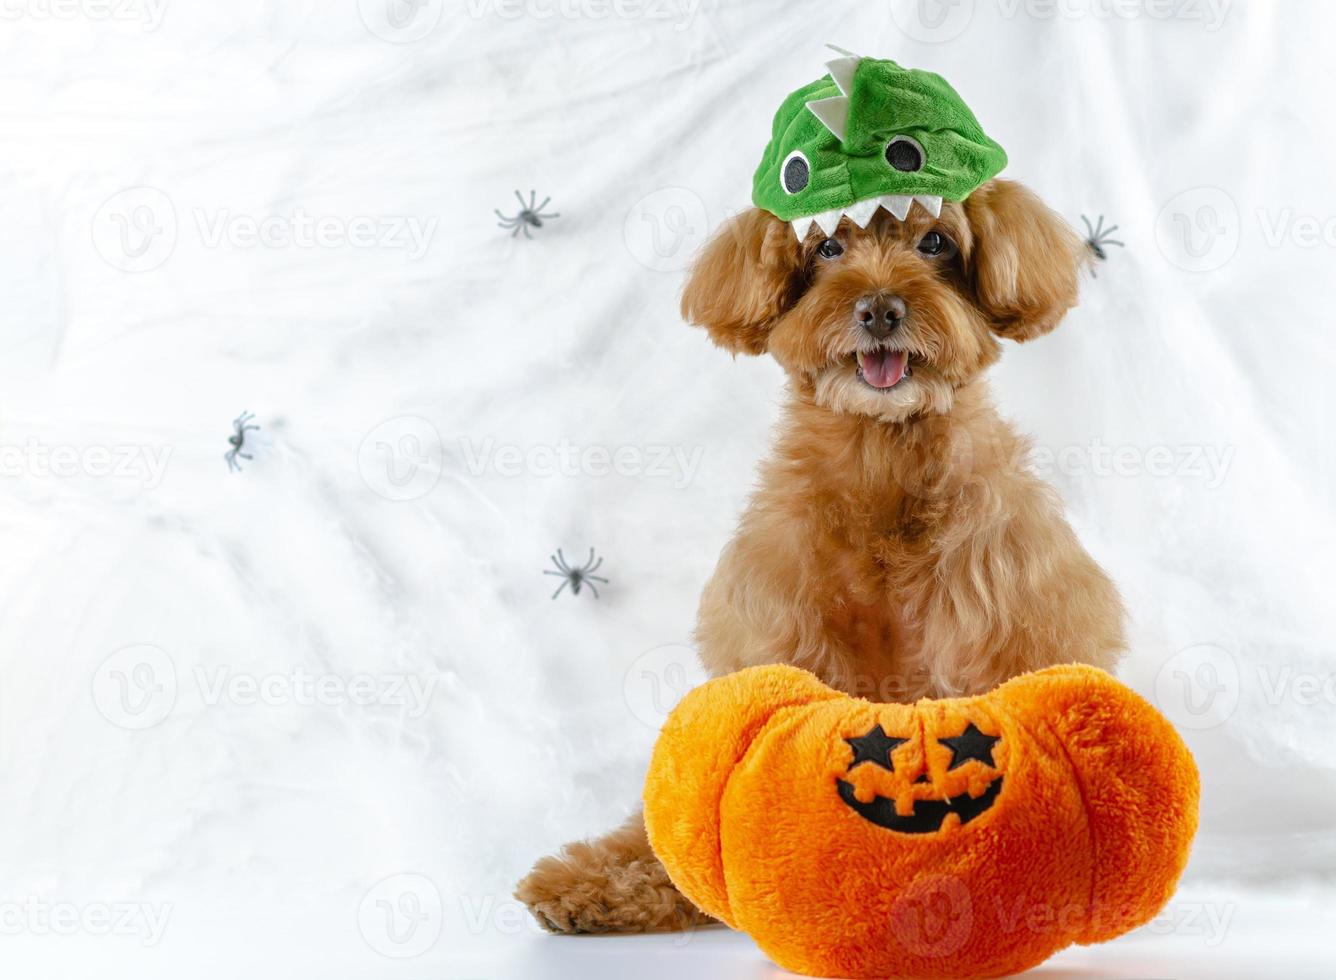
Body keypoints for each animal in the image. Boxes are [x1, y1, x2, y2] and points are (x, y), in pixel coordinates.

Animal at [515, 178, 1122, 934]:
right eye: (828, 246)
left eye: (935, 242)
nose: (880, 309)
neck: (883, 465)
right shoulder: (779, 636)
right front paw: (596, 881)